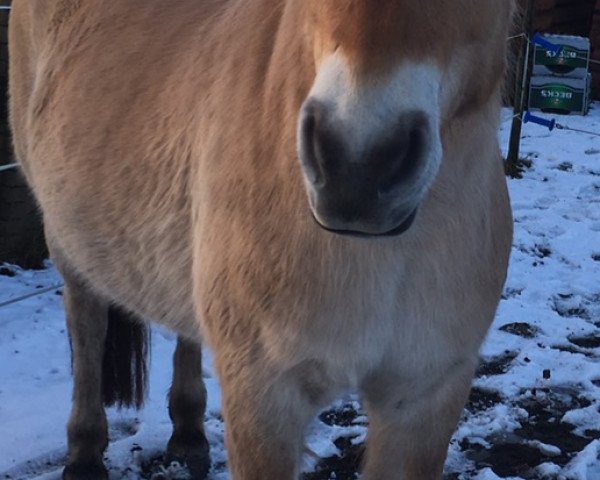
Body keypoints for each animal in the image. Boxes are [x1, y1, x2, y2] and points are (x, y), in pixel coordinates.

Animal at [8, 1, 516, 478]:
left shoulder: (425, 395)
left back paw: (188, 432)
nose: (357, 166)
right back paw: (85, 453)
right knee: (87, 324)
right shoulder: (264, 400)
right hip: (66, 240)